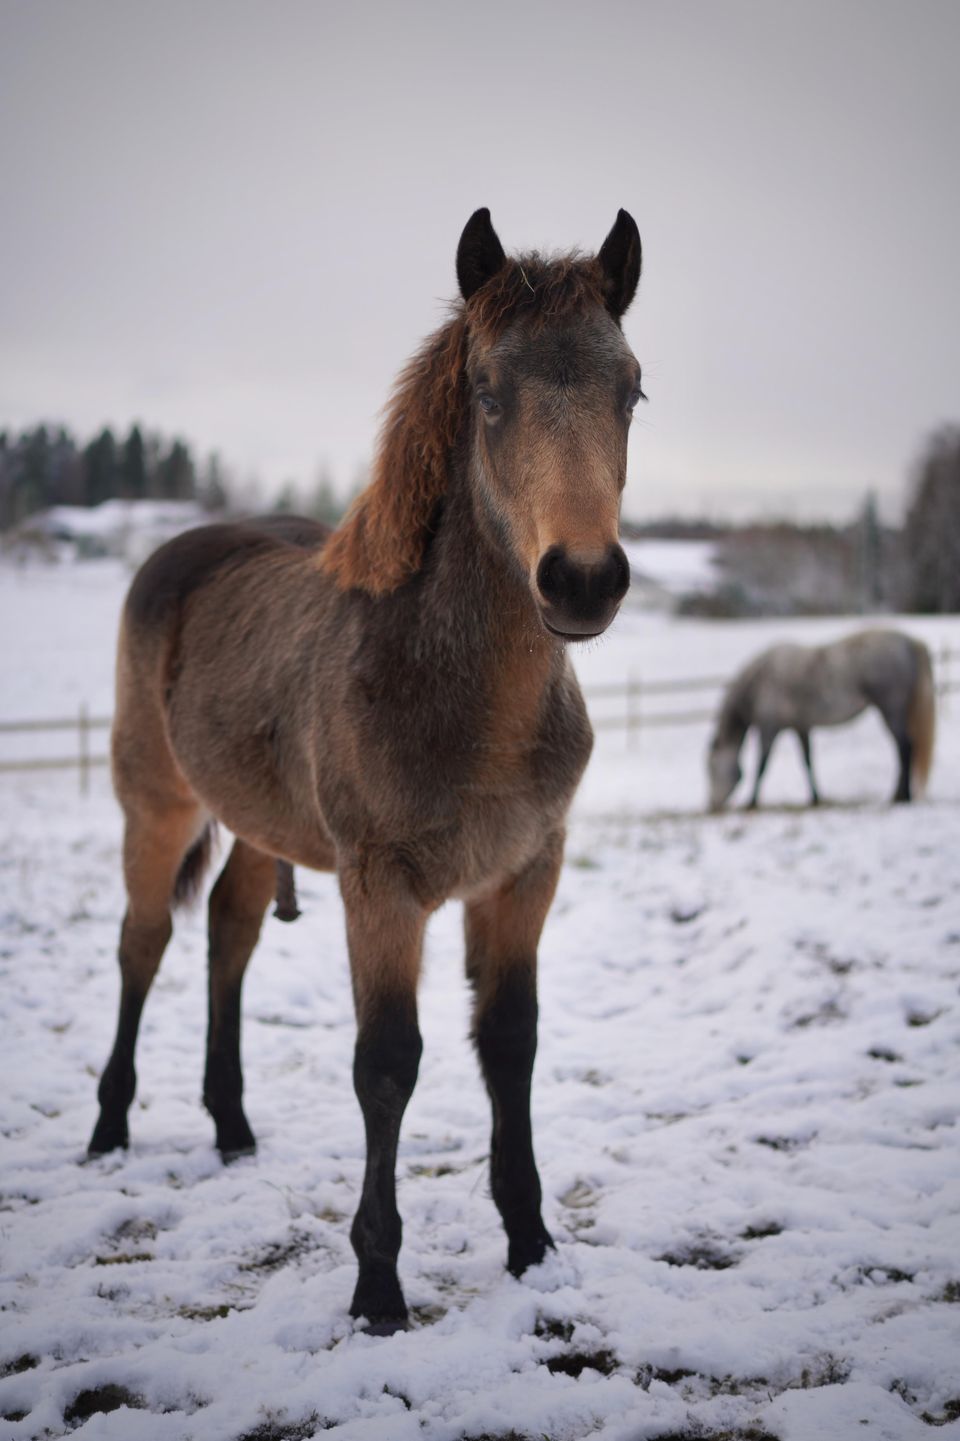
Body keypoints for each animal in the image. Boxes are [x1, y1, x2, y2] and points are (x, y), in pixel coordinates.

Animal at [706, 628, 928, 812]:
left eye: (711, 768)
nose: (712, 806)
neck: (759, 682)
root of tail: (910, 642)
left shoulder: (769, 727)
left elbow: (761, 765)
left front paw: (751, 802)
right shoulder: (801, 726)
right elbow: (807, 762)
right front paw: (814, 798)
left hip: (891, 709)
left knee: (905, 748)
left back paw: (902, 796)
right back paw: (900, 795)